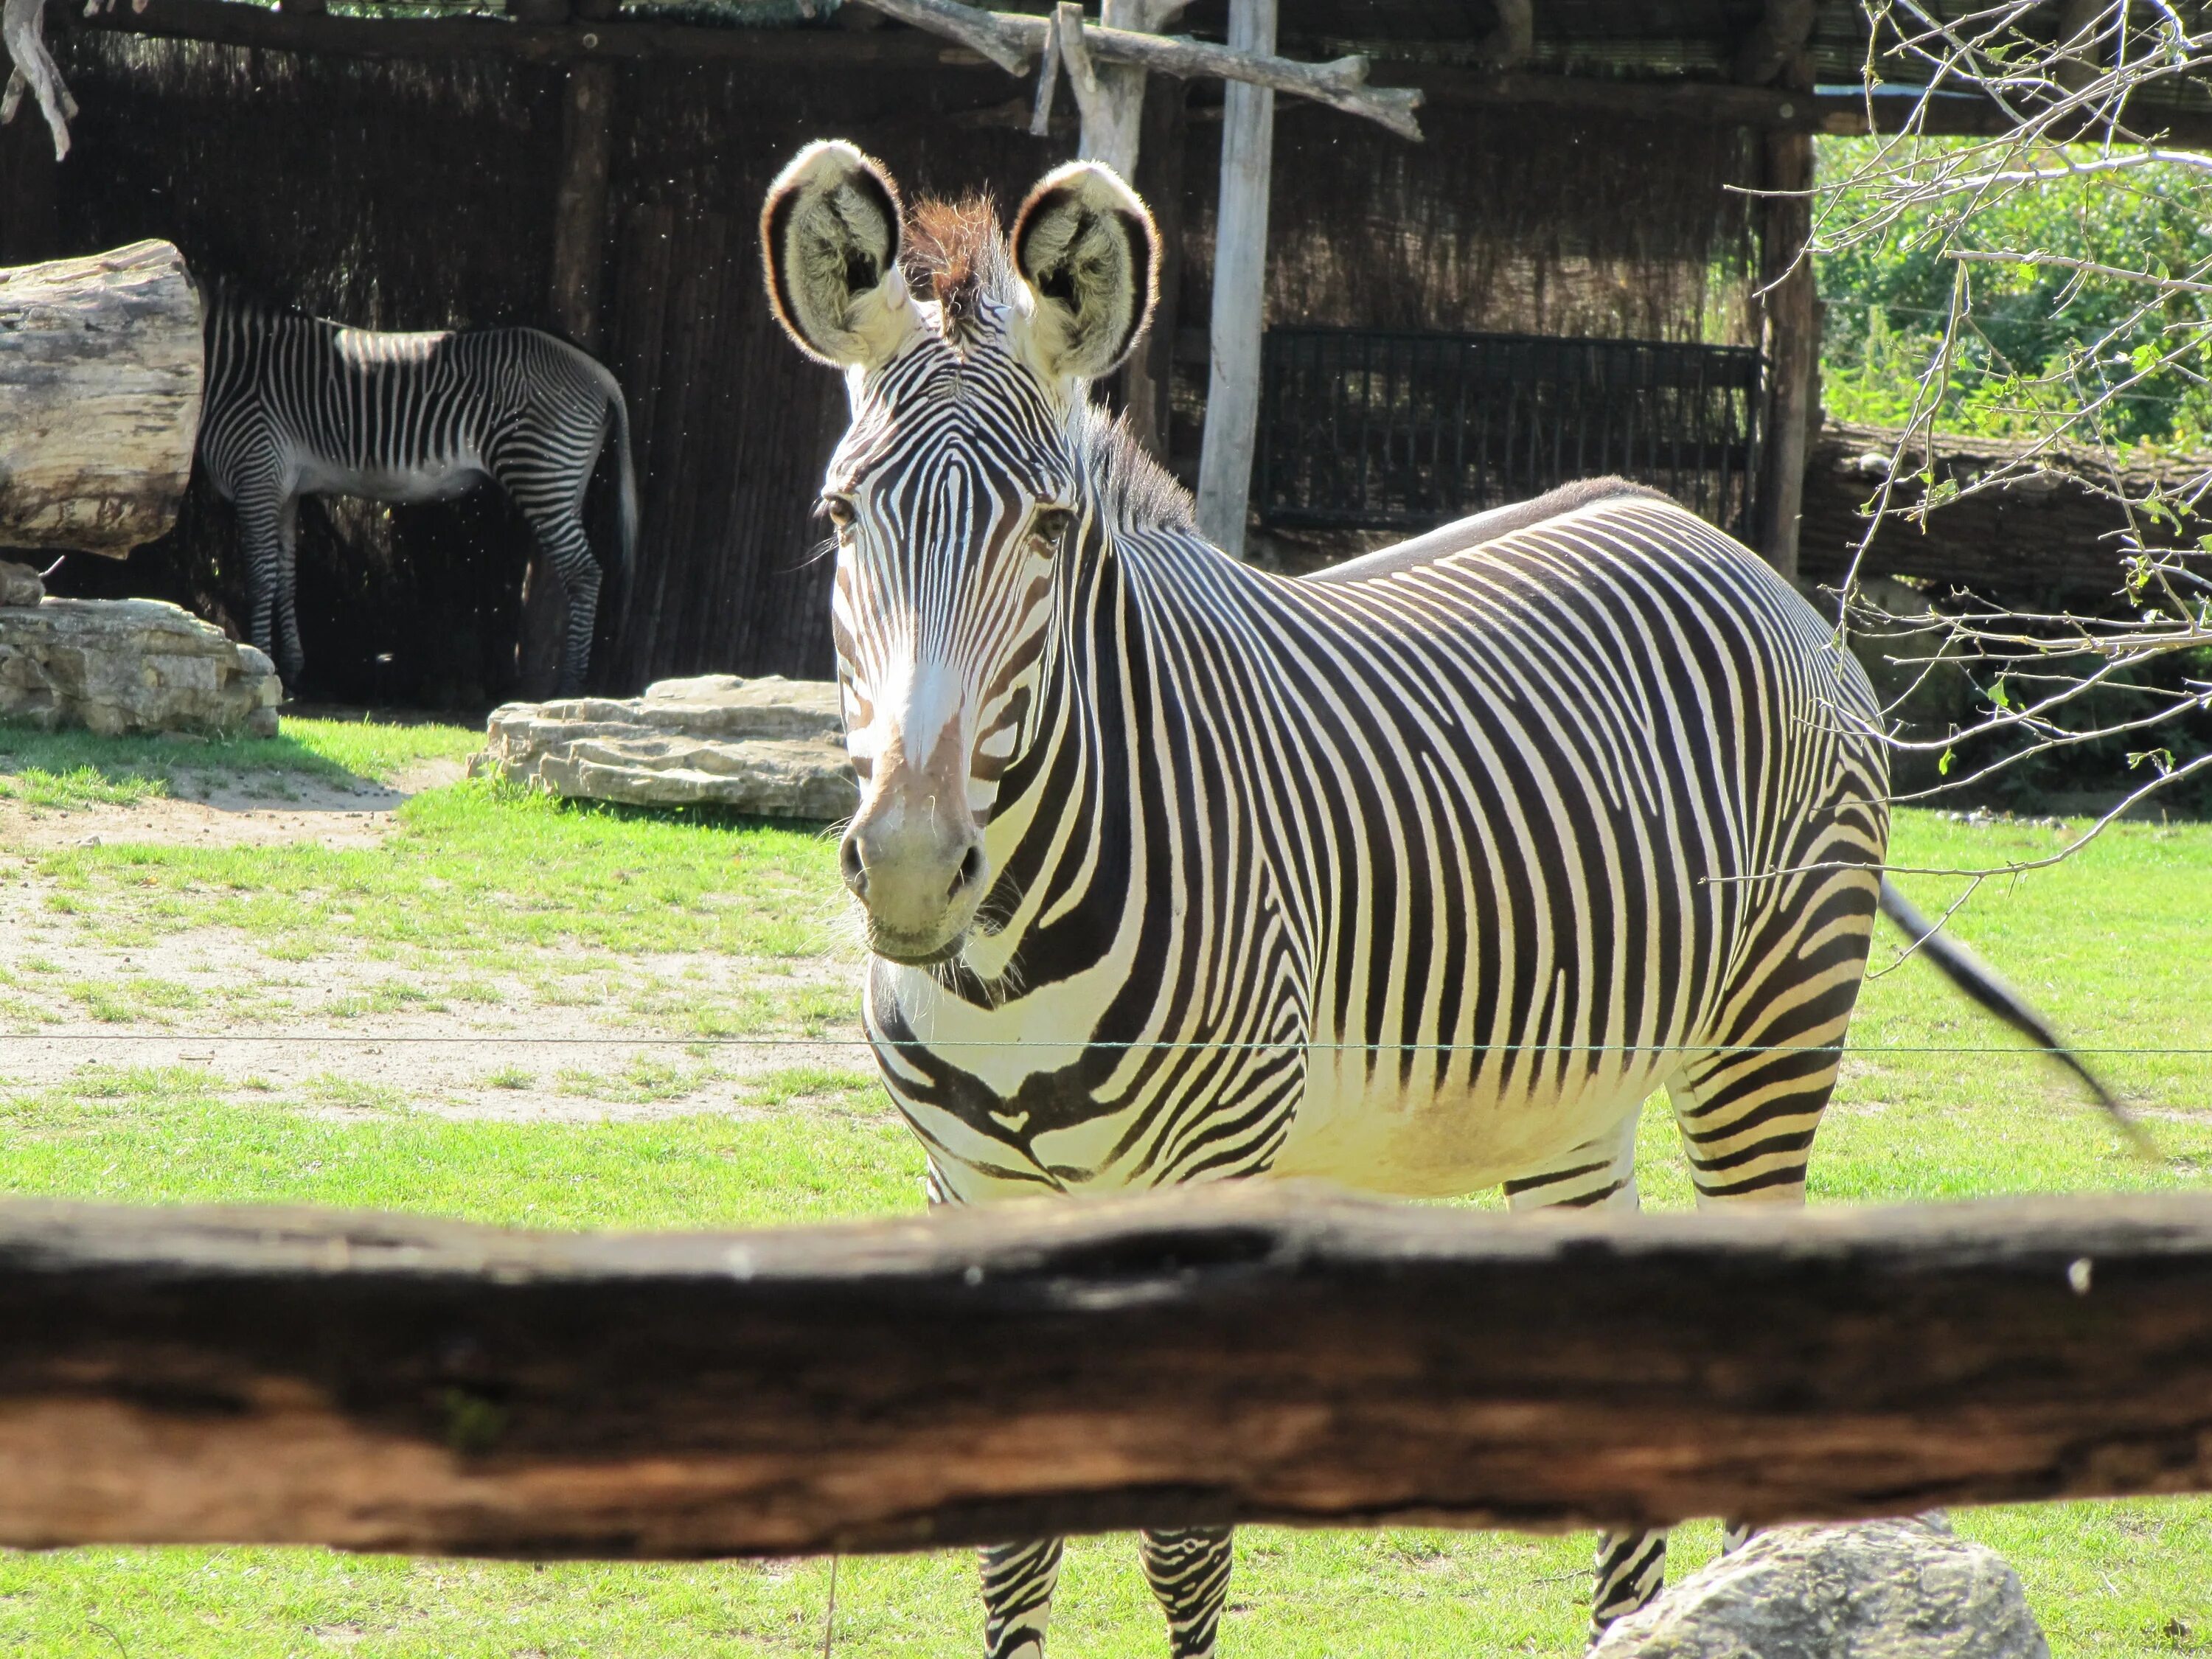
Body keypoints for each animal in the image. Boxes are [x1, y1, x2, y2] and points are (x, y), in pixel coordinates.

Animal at [193, 285, 637, 695]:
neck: (230, 370)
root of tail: (598, 369)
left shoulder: (257, 474)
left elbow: (259, 576)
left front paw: (262, 662)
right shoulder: (284, 489)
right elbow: (285, 579)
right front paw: (289, 671)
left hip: (539, 472)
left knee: (584, 572)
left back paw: (570, 687)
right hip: (566, 479)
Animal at [757, 146, 2124, 1659]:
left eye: (1050, 529)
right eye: (837, 520)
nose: (913, 865)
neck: (1004, 965)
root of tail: (1716, 538)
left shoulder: (1215, 1177)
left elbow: (1185, 1552)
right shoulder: (969, 1189)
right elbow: (1009, 1555)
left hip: (1775, 1032)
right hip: (1578, 1098)